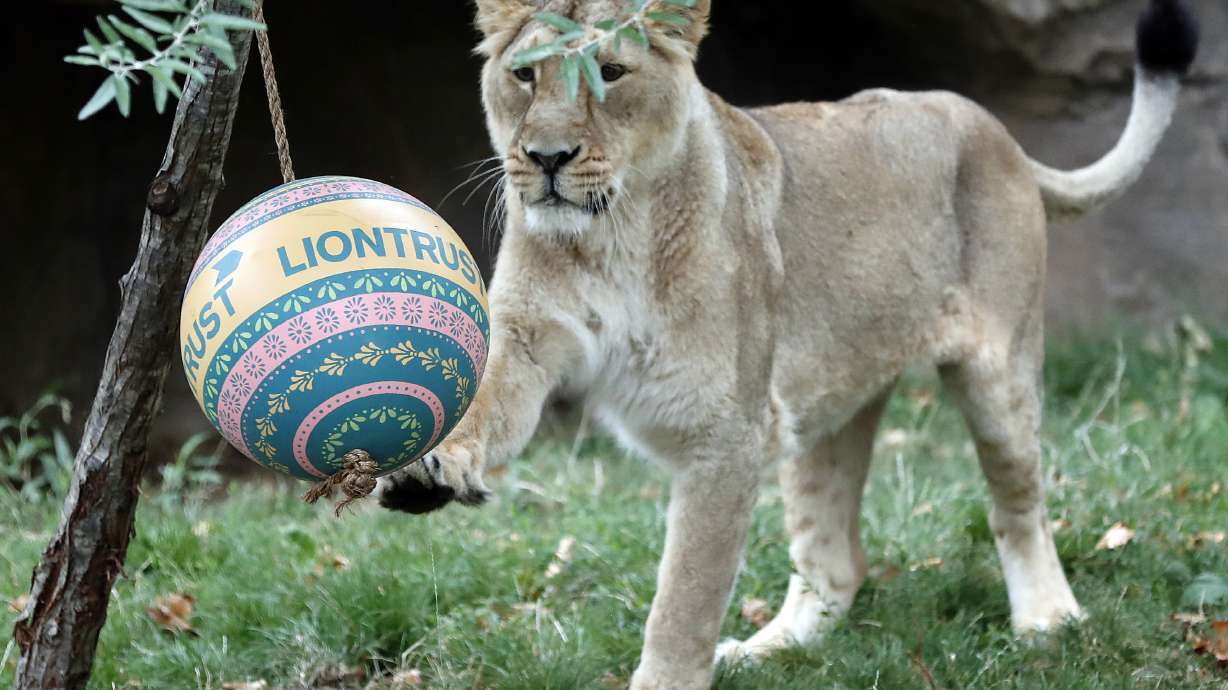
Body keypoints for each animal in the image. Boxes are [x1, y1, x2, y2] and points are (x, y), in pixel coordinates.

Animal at [376, 1, 1200, 687]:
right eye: (524, 75)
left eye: (610, 73)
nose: (546, 158)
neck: (609, 237)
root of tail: (991, 126)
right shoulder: (527, 338)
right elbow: (485, 404)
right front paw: (429, 467)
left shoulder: (726, 436)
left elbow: (685, 599)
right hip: (819, 412)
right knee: (836, 560)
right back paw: (771, 649)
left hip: (997, 374)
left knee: (1018, 503)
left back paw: (1047, 622)